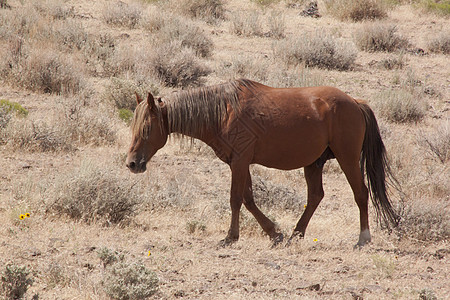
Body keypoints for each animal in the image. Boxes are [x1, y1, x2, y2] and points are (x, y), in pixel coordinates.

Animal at [125, 79, 398, 246]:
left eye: (147, 128)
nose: (132, 164)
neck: (222, 111)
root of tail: (355, 102)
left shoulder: (239, 162)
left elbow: (236, 199)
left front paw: (230, 237)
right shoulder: (240, 164)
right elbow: (248, 199)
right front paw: (274, 233)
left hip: (347, 158)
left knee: (360, 193)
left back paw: (363, 238)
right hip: (314, 163)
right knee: (315, 197)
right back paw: (296, 234)